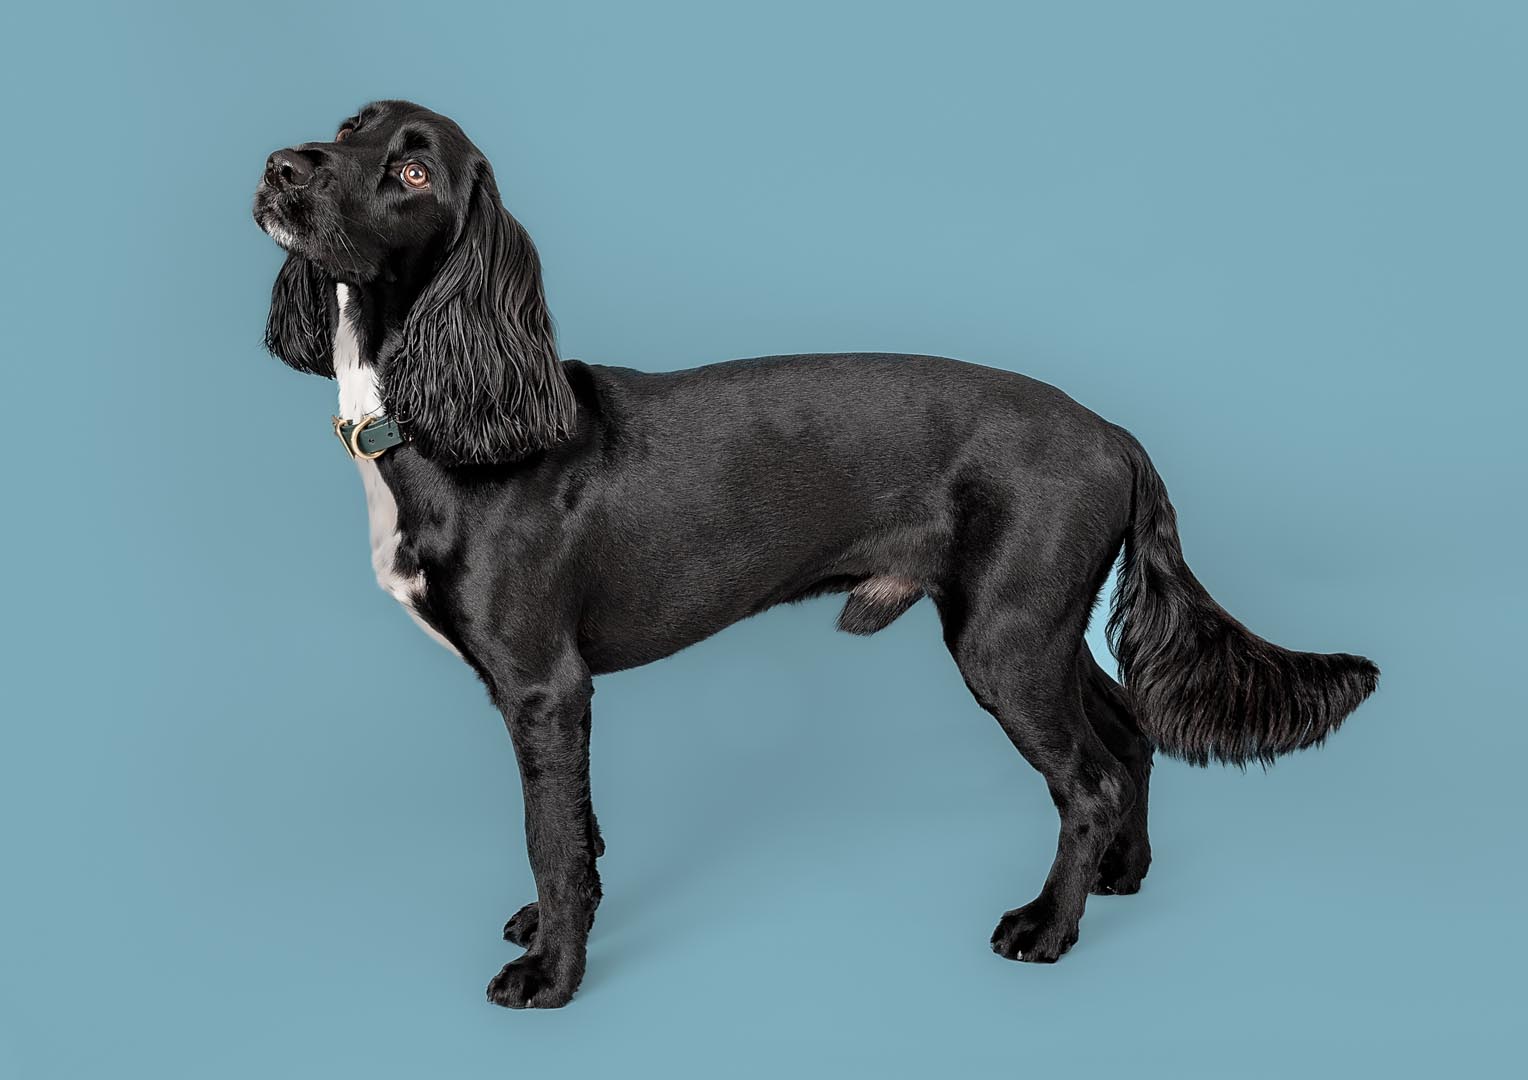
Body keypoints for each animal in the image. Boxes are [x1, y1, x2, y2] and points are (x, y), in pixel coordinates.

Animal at [250, 101, 1375, 1014]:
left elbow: (553, 836)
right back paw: (1121, 876)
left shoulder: (544, 686)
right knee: (1128, 736)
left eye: (412, 171)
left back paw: (1046, 928)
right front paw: (556, 926)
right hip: (1037, 626)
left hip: (1005, 638)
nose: (282, 166)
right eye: (349, 128)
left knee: (1088, 779)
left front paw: (553, 974)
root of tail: (1118, 436)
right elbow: (577, 830)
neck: (447, 411)